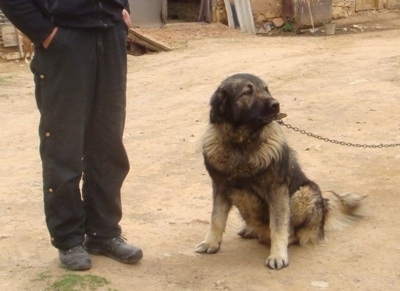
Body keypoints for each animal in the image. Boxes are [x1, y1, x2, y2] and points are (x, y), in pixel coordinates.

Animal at [195, 73, 368, 272]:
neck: (241, 146)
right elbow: (216, 219)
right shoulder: (221, 187)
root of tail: (325, 213)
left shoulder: (277, 191)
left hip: (305, 192)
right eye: (247, 92)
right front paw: (210, 243)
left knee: (296, 232)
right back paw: (250, 229)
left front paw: (277, 256)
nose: (275, 104)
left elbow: (278, 227)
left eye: (266, 89)